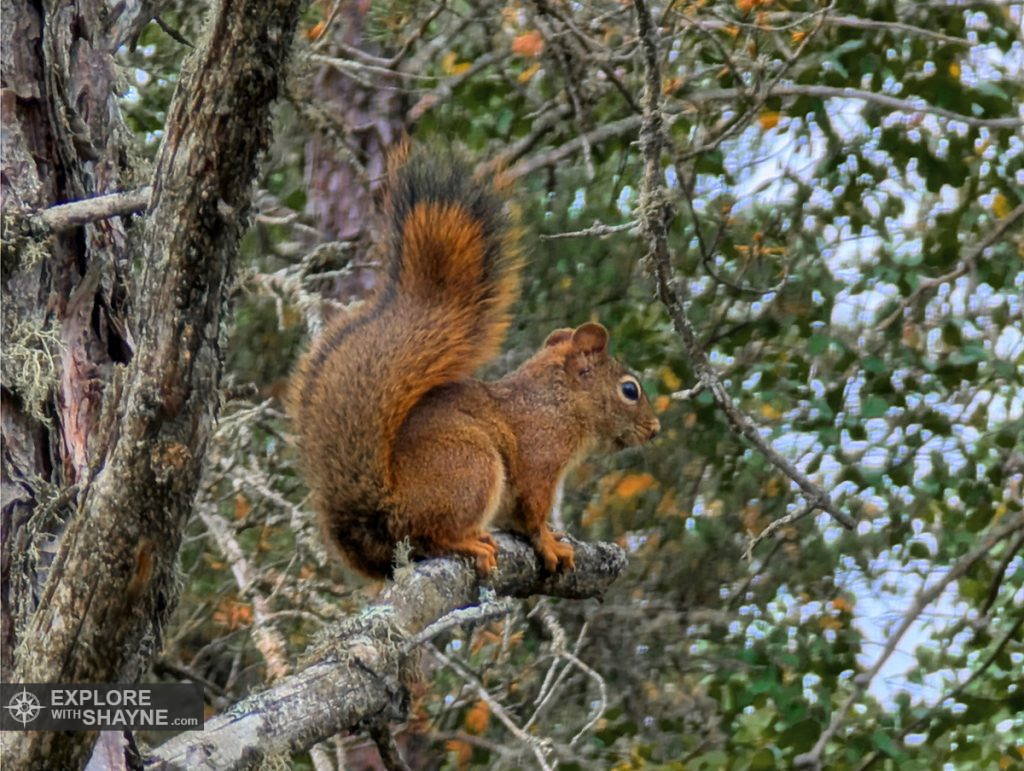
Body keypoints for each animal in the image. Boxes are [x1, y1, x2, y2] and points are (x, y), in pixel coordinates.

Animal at [289, 142, 660, 579]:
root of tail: (385, 518)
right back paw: (468, 542)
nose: (655, 430)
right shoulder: (540, 456)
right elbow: (533, 513)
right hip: (472, 465)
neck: (559, 402)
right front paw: (549, 542)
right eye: (629, 390)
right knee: (431, 534)